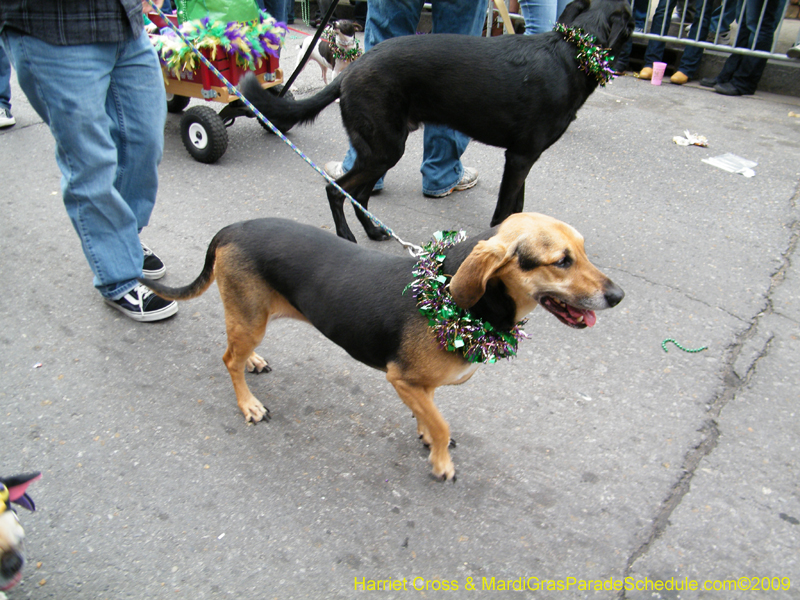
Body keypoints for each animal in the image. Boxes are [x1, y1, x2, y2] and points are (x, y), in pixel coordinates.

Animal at [145, 213, 624, 480]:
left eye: (584, 251)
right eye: (561, 261)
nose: (618, 296)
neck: (457, 302)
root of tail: (232, 228)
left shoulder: (420, 387)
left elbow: (430, 417)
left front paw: (426, 436)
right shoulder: (402, 379)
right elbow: (442, 425)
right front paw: (440, 463)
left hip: (252, 316)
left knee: (238, 354)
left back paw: (254, 363)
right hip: (249, 318)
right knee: (228, 359)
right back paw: (248, 403)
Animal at [241, 0, 636, 244]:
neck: (574, 50)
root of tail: (353, 68)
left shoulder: (522, 157)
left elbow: (518, 207)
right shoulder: (520, 157)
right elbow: (503, 212)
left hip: (380, 149)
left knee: (360, 195)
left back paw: (373, 232)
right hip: (384, 147)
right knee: (337, 190)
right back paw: (348, 236)